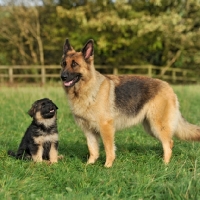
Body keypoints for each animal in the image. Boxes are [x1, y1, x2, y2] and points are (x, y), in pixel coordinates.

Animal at [59, 38, 200, 167]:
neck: (87, 89)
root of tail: (169, 87)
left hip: (157, 125)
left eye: (74, 64)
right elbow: (93, 149)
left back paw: (165, 165)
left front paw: (107, 166)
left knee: (168, 143)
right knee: (169, 142)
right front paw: (90, 164)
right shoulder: (88, 130)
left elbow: (109, 148)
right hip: (150, 127)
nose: (62, 77)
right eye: (63, 64)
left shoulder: (106, 128)